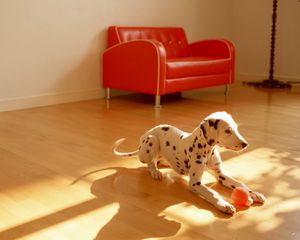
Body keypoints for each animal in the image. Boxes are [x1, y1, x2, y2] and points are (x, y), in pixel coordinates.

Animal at [112, 111, 264, 215]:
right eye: (227, 131)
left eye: (236, 128)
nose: (245, 144)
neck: (208, 151)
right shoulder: (195, 183)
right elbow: (212, 192)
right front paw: (224, 205)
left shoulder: (220, 174)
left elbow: (239, 183)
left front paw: (254, 193)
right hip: (151, 141)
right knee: (150, 162)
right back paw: (155, 172)